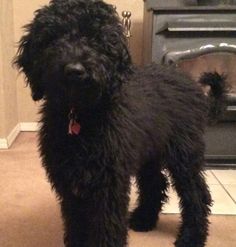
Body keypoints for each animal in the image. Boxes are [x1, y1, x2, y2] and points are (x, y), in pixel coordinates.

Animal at [13, 0, 228, 247]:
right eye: (54, 37)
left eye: (96, 38)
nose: (75, 70)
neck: (80, 115)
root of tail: (195, 88)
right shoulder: (70, 182)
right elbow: (77, 222)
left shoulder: (110, 183)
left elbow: (107, 227)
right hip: (149, 153)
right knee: (155, 184)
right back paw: (143, 220)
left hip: (184, 155)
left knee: (197, 195)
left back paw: (191, 237)